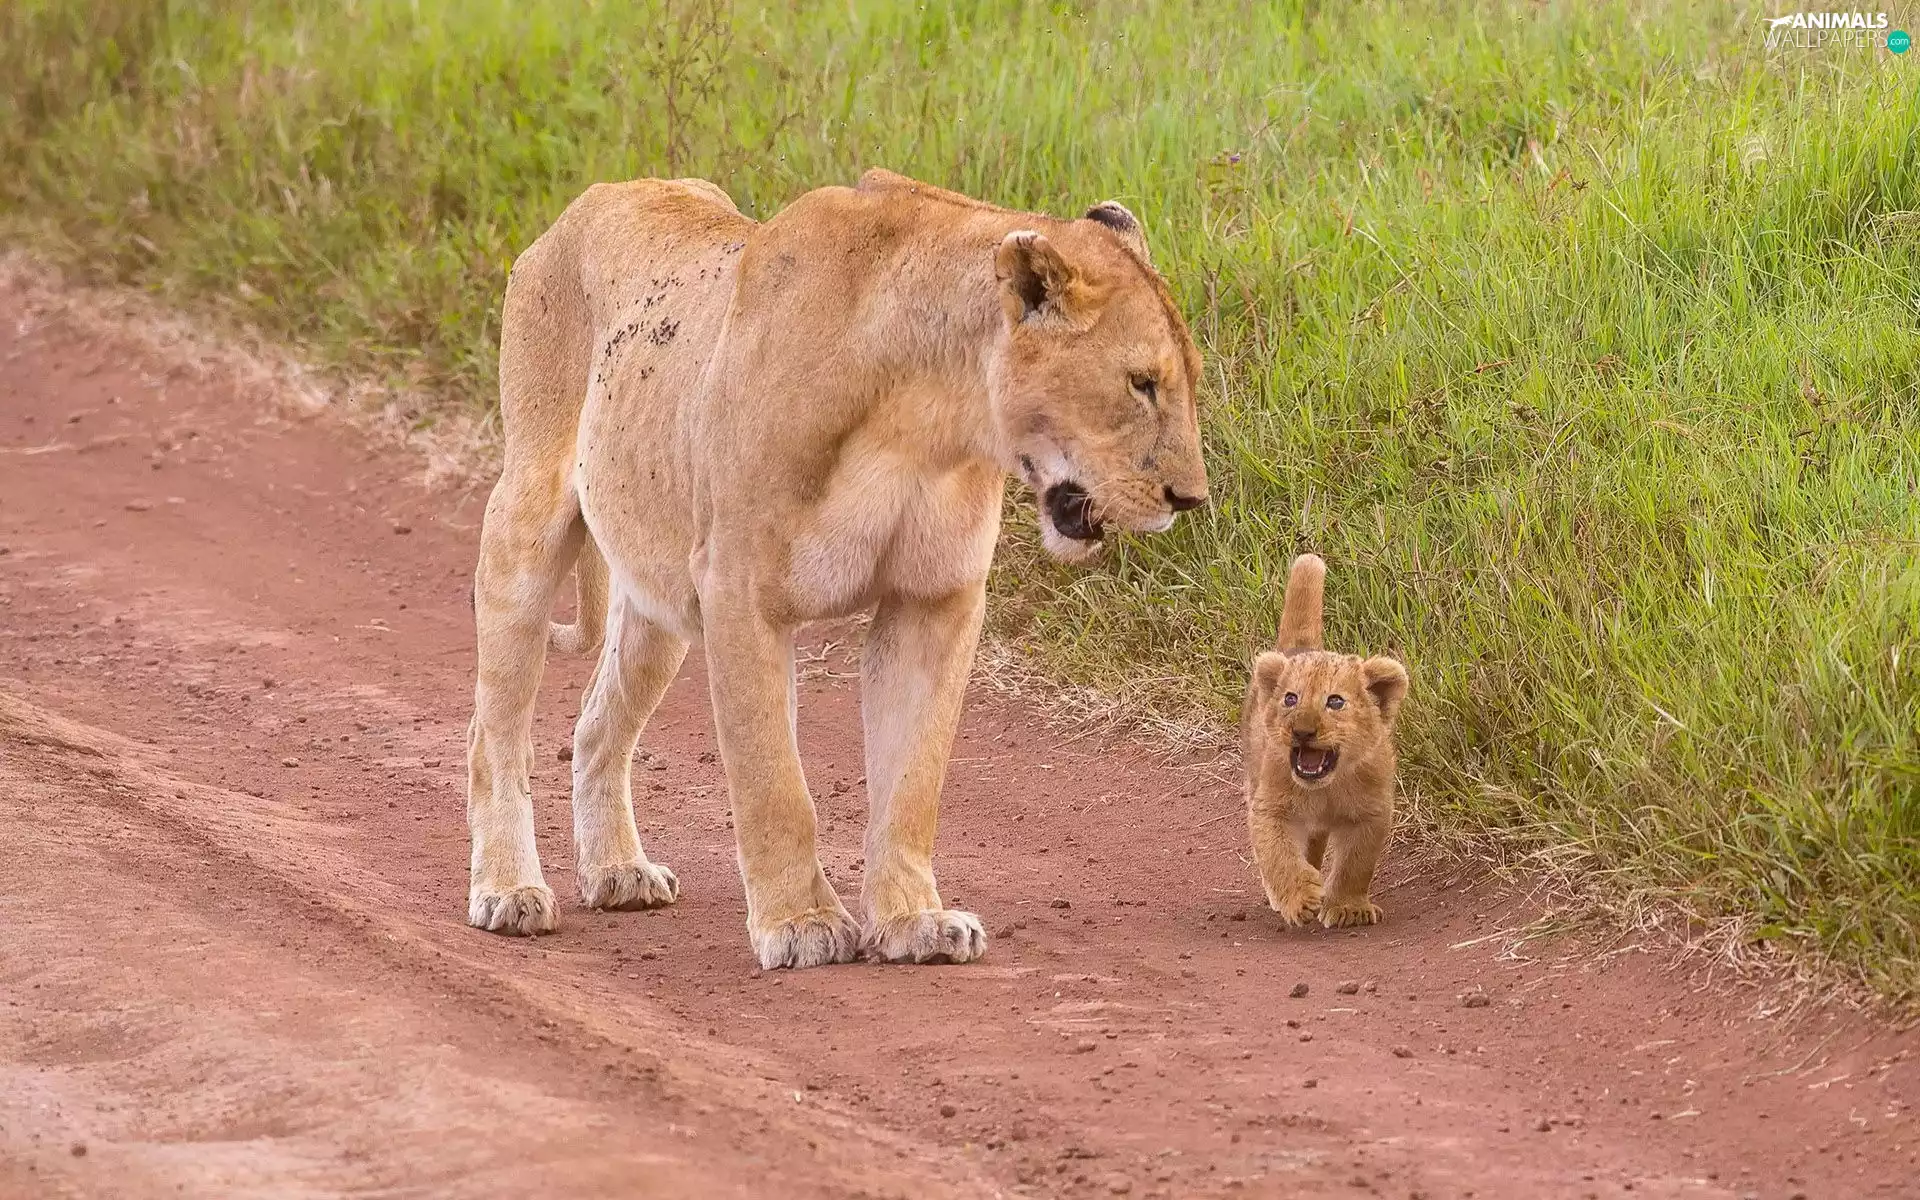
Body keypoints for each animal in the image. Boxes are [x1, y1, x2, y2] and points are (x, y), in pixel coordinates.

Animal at [465, 169, 1209, 969]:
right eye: (1141, 383)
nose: (1191, 498)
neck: (929, 419)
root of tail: (601, 191)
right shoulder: (739, 589)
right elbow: (774, 783)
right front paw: (800, 924)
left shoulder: (933, 601)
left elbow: (913, 780)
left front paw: (915, 920)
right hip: (526, 522)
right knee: (494, 732)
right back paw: (509, 891)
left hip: (656, 598)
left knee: (597, 726)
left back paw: (617, 872)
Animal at [1243, 554, 1410, 928]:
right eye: (1291, 699)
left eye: (1335, 702)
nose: (1303, 731)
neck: (1325, 789)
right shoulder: (1271, 806)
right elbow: (1277, 854)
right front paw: (1300, 897)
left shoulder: (1371, 812)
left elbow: (1355, 865)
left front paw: (1348, 908)